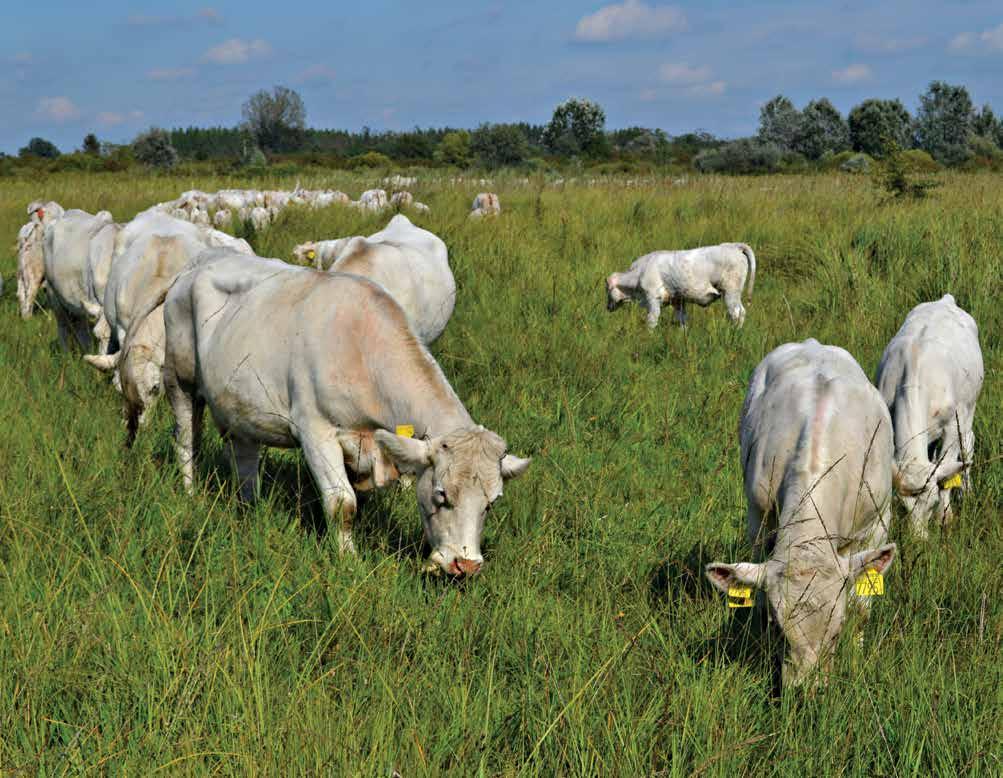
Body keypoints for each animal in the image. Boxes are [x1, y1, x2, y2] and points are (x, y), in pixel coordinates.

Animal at [160, 252, 529, 573]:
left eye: (492, 502)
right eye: (441, 494)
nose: (465, 566)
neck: (360, 348)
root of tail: (201, 261)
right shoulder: (314, 431)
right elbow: (342, 504)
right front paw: (349, 561)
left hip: (239, 405)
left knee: (245, 458)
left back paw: (250, 508)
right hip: (180, 379)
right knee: (186, 440)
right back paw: (190, 494)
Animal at [601, 242, 754, 328]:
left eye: (607, 290)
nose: (607, 307)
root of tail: (733, 246)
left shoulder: (653, 299)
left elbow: (651, 320)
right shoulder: (678, 301)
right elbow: (682, 320)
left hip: (731, 293)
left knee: (738, 313)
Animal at [702, 340, 898, 685]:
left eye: (837, 631)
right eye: (779, 630)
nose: (807, 691)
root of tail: (812, 344)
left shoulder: (877, 522)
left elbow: (862, 606)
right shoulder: (759, 518)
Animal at [874, 294, 982, 537]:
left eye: (932, 504)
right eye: (902, 506)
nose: (918, 541)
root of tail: (945, 300)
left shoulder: (953, 425)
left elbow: (946, 476)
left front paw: (946, 516)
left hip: (969, 407)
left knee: (967, 446)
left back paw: (967, 491)